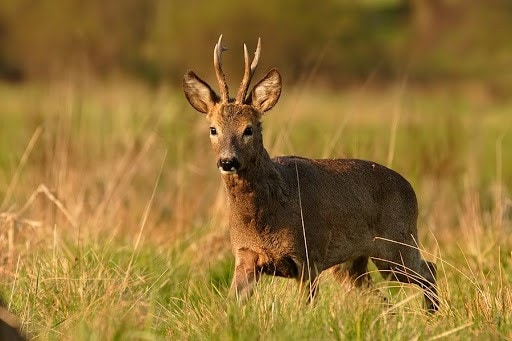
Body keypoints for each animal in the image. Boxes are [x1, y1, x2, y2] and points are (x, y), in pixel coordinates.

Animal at [182, 35, 438, 310]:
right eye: (213, 129)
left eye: (248, 129)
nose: (228, 161)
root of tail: (410, 188)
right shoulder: (245, 257)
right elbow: (231, 304)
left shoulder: (309, 255)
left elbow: (305, 307)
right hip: (353, 264)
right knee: (383, 297)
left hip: (397, 243)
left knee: (429, 270)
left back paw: (432, 314)